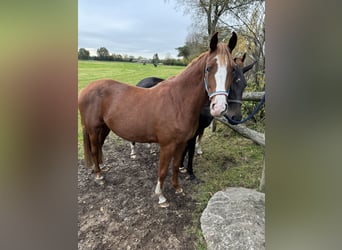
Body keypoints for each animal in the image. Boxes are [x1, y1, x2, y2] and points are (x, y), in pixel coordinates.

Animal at [78, 31, 236, 207]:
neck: (178, 101)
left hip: (104, 128)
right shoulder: (167, 145)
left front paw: (177, 188)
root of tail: (86, 89)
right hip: (93, 129)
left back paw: (102, 168)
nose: (219, 107)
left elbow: (176, 165)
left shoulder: (182, 143)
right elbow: (163, 170)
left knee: (99, 147)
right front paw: (161, 197)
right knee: (94, 149)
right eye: (208, 68)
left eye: (232, 70)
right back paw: (99, 176)